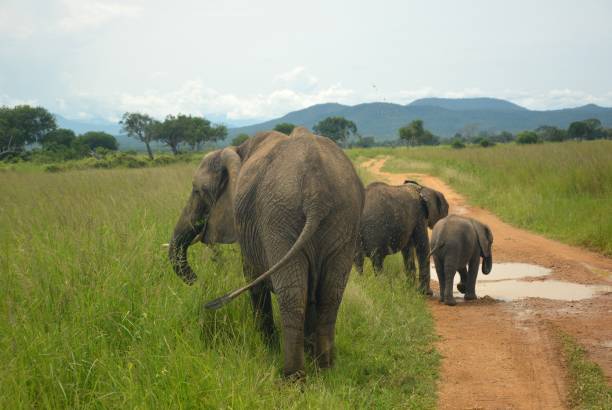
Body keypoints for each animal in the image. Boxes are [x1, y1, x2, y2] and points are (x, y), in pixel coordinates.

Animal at [167, 127, 364, 378]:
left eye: (197, 191)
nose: (195, 279)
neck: (237, 149)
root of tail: (316, 190)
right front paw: (307, 353)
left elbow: (253, 280)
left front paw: (268, 348)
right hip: (343, 219)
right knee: (330, 294)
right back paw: (324, 370)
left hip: (278, 218)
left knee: (292, 294)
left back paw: (292, 376)